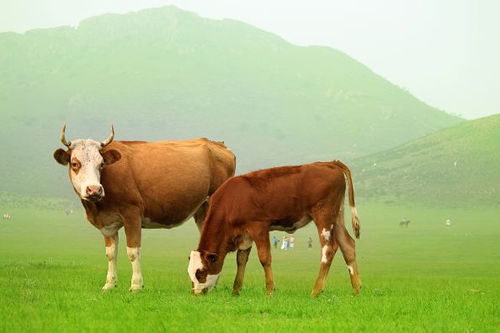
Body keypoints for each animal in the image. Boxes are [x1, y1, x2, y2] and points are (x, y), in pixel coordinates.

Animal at [53, 124, 237, 290]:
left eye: (101, 164)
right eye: (75, 163)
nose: (94, 189)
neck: (98, 208)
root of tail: (218, 145)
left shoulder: (132, 213)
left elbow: (133, 252)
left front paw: (136, 285)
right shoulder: (107, 223)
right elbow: (111, 253)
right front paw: (109, 284)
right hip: (201, 210)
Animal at [189, 161, 362, 296]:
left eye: (201, 273)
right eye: (190, 274)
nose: (196, 293)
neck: (233, 200)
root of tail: (329, 163)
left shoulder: (259, 227)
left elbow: (264, 258)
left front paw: (270, 290)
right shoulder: (244, 235)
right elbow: (241, 260)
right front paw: (236, 290)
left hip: (324, 215)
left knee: (329, 249)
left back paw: (316, 290)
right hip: (336, 216)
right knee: (348, 245)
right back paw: (356, 289)